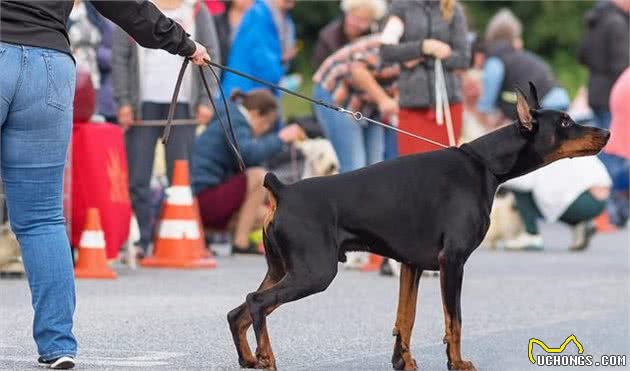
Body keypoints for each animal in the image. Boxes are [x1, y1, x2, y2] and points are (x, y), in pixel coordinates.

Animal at [227, 84, 612, 371]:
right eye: (565, 122)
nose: (606, 132)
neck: (485, 165)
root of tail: (282, 189)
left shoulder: (410, 265)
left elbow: (406, 318)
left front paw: (404, 361)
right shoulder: (452, 260)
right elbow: (454, 320)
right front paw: (456, 363)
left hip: (282, 268)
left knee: (238, 311)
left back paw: (250, 359)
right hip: (314, 271)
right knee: (256, 303)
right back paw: (266, 357)